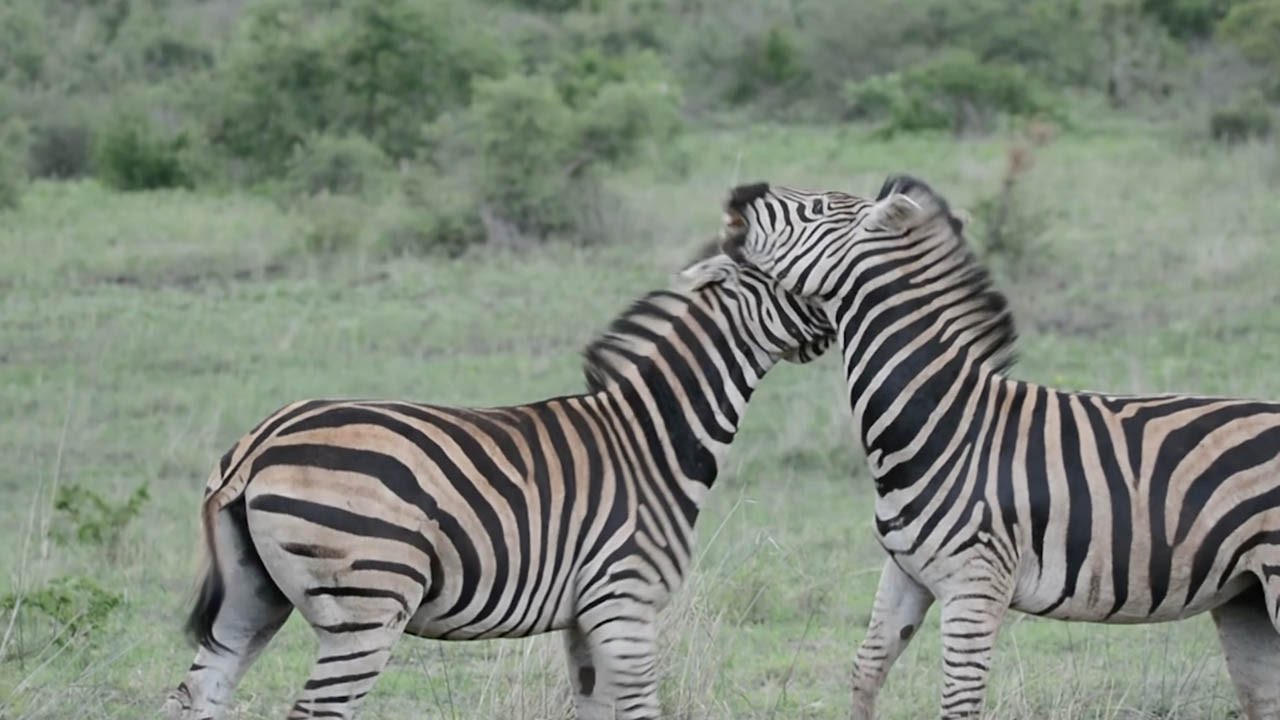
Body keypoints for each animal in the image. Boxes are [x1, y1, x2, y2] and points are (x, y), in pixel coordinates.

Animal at [161, 250, 833, 720]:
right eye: (798, 279)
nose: (837, 325)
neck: (653, 436)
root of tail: (259, 442)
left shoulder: (585, 616)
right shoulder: (625, 600)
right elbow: (643, 709)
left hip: (254, 594)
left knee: (198, 691)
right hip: (368, 604)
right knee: (315, 709)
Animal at [720, 176, 1280, 719]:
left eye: (815, 208)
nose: (739, 192)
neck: (946, 423)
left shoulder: (976, 584)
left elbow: (958, 703)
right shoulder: (906, 574)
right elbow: (866, 672)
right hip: (1246, 597)